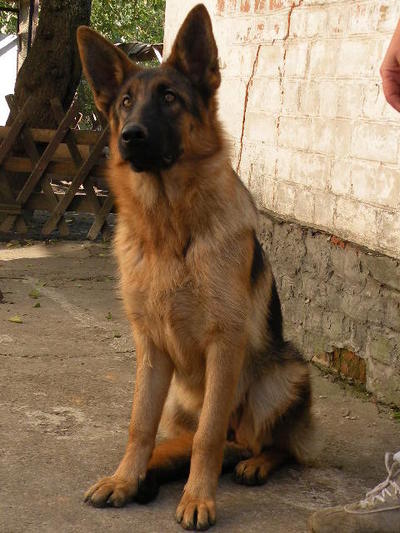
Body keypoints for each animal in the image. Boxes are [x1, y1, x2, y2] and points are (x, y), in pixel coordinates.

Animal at [77, 4, 313, 530]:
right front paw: (126, 479)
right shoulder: (150, 349)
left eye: (169, 98)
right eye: (125, 103)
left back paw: (255, 463)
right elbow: (140, 424)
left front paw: (198, 498)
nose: (130, 137)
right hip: (181, 398)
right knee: (212, 436)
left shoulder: (224, 345)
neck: (170, 230)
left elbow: (208, 438)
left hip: (283, 374)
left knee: (270, 442)